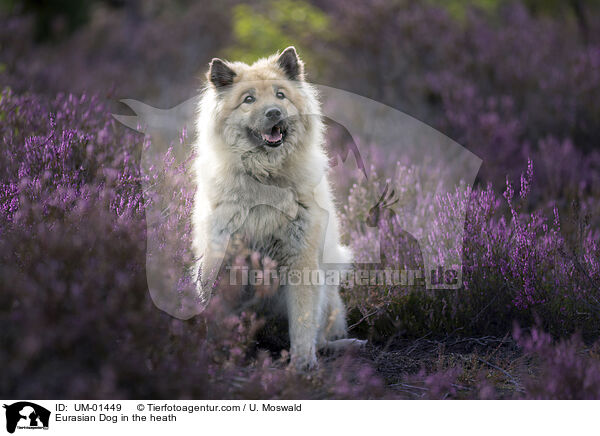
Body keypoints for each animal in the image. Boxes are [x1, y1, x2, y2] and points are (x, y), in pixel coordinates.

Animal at [192, 46, 360, 368]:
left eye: (280, 95)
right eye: (249, 99)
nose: (273, 113)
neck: (265, 179)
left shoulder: (301, 260)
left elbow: (303, 323)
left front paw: (302, 365)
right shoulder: (222, 258)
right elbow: (215, 314)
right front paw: (216, 356)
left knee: (322, 336)